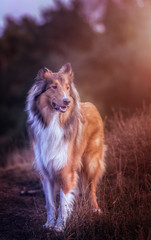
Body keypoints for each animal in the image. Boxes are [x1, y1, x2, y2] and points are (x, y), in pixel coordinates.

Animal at [26, 62, 105, 232]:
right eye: (54, 87)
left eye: (67, 87)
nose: (67, 101)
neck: (54, 122)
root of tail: (92, 105)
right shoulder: (46, 173)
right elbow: (50, 203)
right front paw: (49, 225)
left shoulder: (66, 171)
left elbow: (63, 203)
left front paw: (60, 227)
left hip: (91, 162)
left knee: (92, 189)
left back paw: (95, 209)